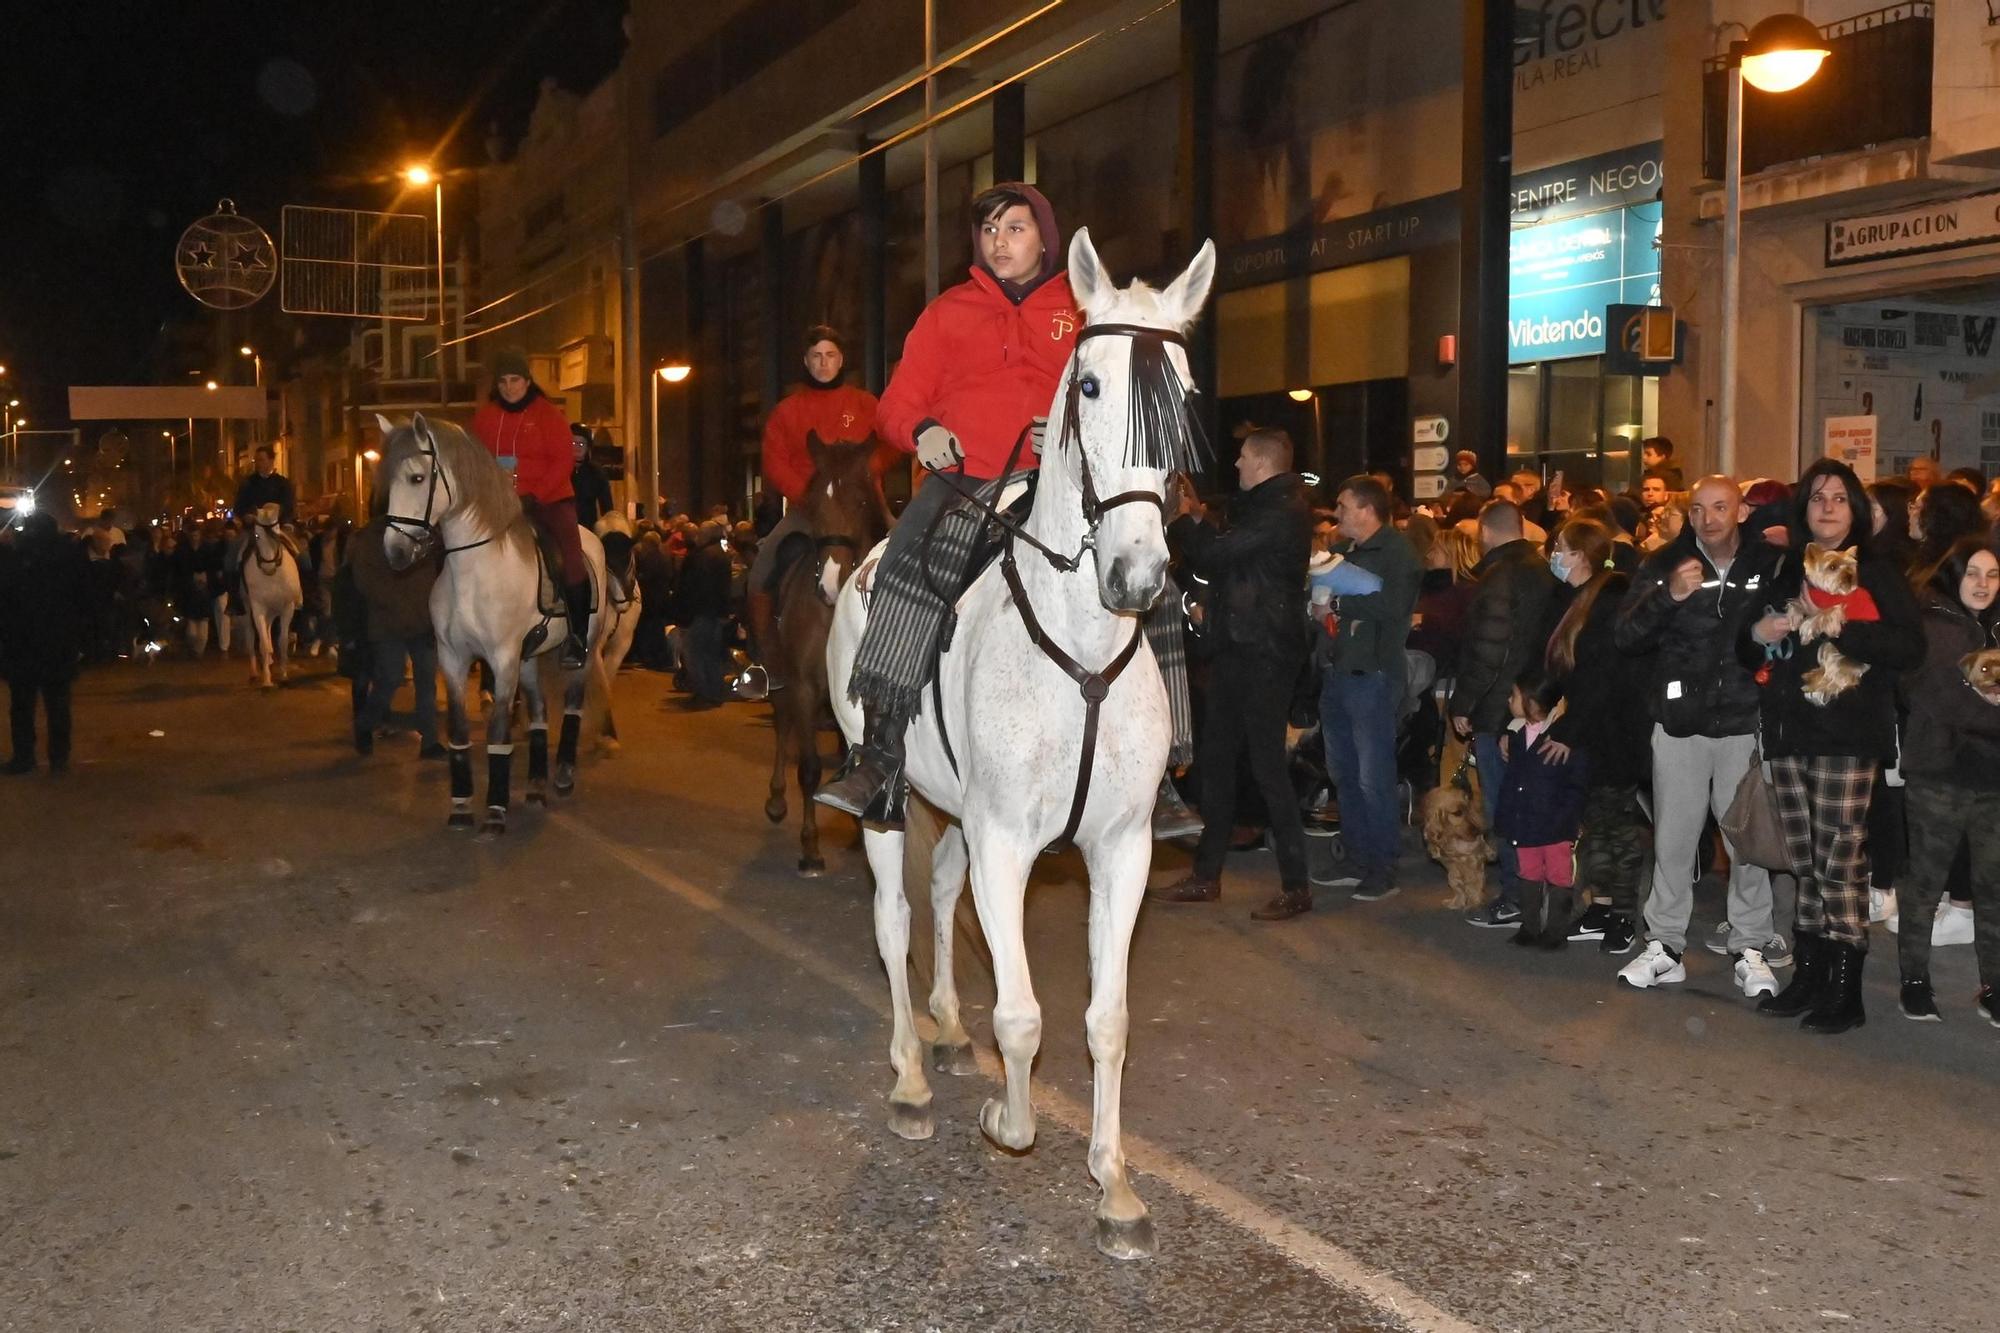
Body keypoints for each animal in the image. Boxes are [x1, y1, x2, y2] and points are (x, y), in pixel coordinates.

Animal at [242, 500, 300, 684]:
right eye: (256, 536)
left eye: (276, 533)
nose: (268, 566)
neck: (273, 575)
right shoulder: (258, 607)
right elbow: (264, 644)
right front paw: (267, 680)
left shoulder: (287, 607)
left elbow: (282, 642)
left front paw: (283, 675)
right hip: (249, 608)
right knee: (251, 636)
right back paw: (255, 672)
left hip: (273, 610)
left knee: (268, 631)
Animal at [378, 416, 612, 832]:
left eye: (417, 478)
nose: (396, 552)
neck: (473, 570)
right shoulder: (453, 658)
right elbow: (458, 730)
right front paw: (460, 807)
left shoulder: (502, 659)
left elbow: (498, 730)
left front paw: (496, 811)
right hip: (530, 659)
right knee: (539, 715)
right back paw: (535, 788)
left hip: (580, 655)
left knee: (573, 708)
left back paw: (563, 775)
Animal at [764, 434, 892, 872]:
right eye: (814, 501)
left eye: (862, 500)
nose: (832, 584)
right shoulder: (803, 687)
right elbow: (809, 768)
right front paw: (811, 848)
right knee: (782, 723)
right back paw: (775, 801)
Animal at [824, 228, 1208, 1256]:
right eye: (1090, 385)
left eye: (1185, 394)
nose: (1138, 573)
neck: (1082, 647)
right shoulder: (1008, 843)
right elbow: (1027, 1014)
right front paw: (1011, 1118)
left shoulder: (1121, 849)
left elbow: (1107, 1019)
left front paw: (1116, 1186)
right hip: (884, 800)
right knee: (893, 919)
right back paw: (913, 1077)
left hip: (957, 811)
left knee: (939, 894)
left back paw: (951, 1032)